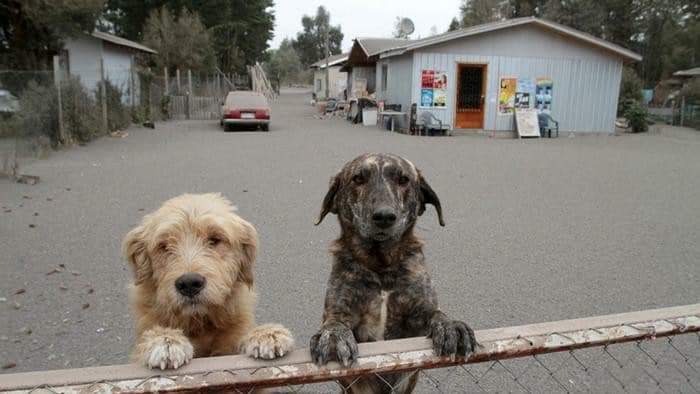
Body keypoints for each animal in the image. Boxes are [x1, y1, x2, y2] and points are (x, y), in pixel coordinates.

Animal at [123, 194, 292, 370]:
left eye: (214, 239)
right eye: (163, 246)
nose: (189, 284)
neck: (199, 324)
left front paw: (264, 333)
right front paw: (165, 340)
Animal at [312, 152, 476, 392]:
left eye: (403, 179)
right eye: (358, 179)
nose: (384, 216)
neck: (381, 267)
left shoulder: (418, 316)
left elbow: (436, 313)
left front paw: (450, 326)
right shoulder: (340, 310)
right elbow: (334, 322)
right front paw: (333, 336)